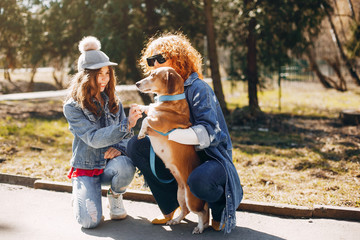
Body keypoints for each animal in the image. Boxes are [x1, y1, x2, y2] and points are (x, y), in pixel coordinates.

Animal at [135, 66, 208, 233]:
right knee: (185, 210)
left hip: (191, 200)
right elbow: (148, 109)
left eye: (153, 75)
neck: (169, 100)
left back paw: (200, 228)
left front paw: (141, 132)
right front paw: (139, 107)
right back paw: (175, 220)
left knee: (201, 213)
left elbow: (146, 119)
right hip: (180, 195)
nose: (136, 83)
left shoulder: (159, 124)